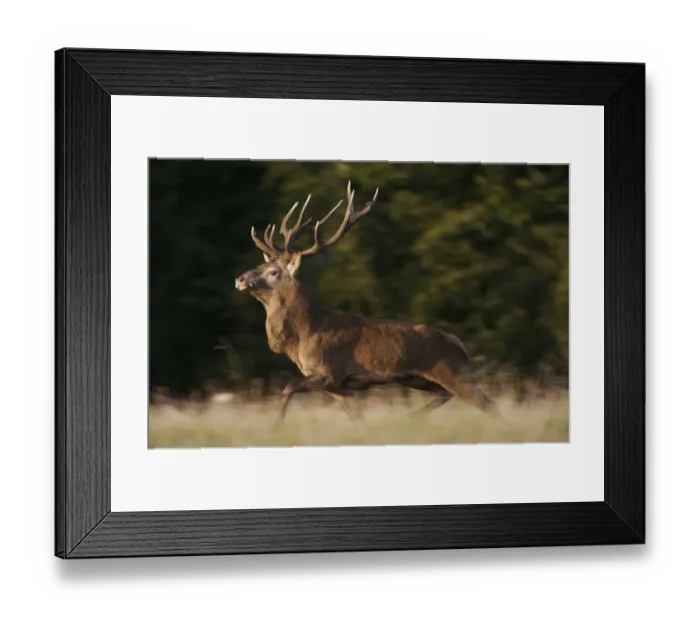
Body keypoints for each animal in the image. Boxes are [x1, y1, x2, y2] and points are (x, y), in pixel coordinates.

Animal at [234, 181, 498, 423]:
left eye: (273, 272)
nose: (240, 278)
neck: (305, 334)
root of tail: (460, 345)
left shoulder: (330, 370)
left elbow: (288, 388)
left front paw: (275, 426)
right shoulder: (339, 386)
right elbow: (356, 418)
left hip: (450, 369)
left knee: (488, 403)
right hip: (425, 378)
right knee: (449, 396)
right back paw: (413, 416)